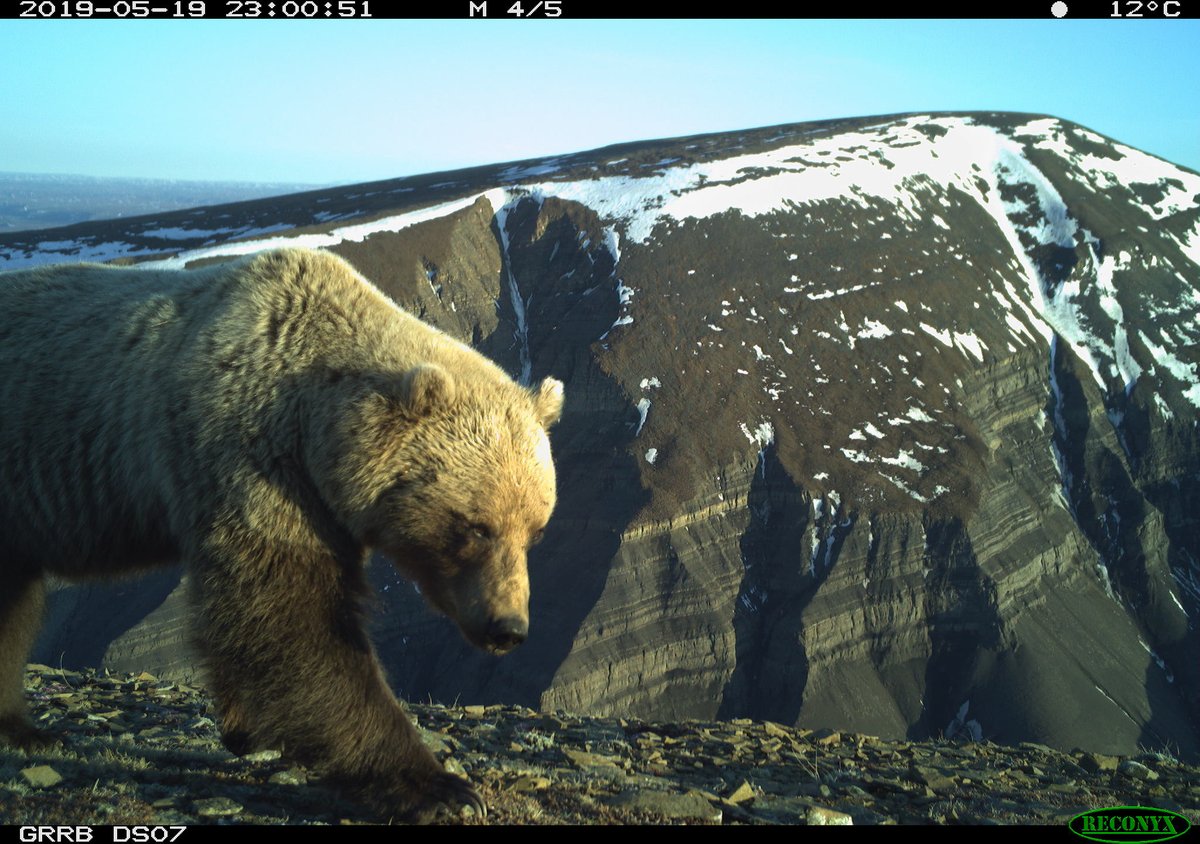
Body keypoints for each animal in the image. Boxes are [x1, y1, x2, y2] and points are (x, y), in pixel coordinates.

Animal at [0, 247, 564, 821]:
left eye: (536, 531)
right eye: (476, 526)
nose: (508, 627)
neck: (314, 425)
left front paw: (243, 728)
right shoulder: (253, 462)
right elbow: (292, 618)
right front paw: (437, 787)